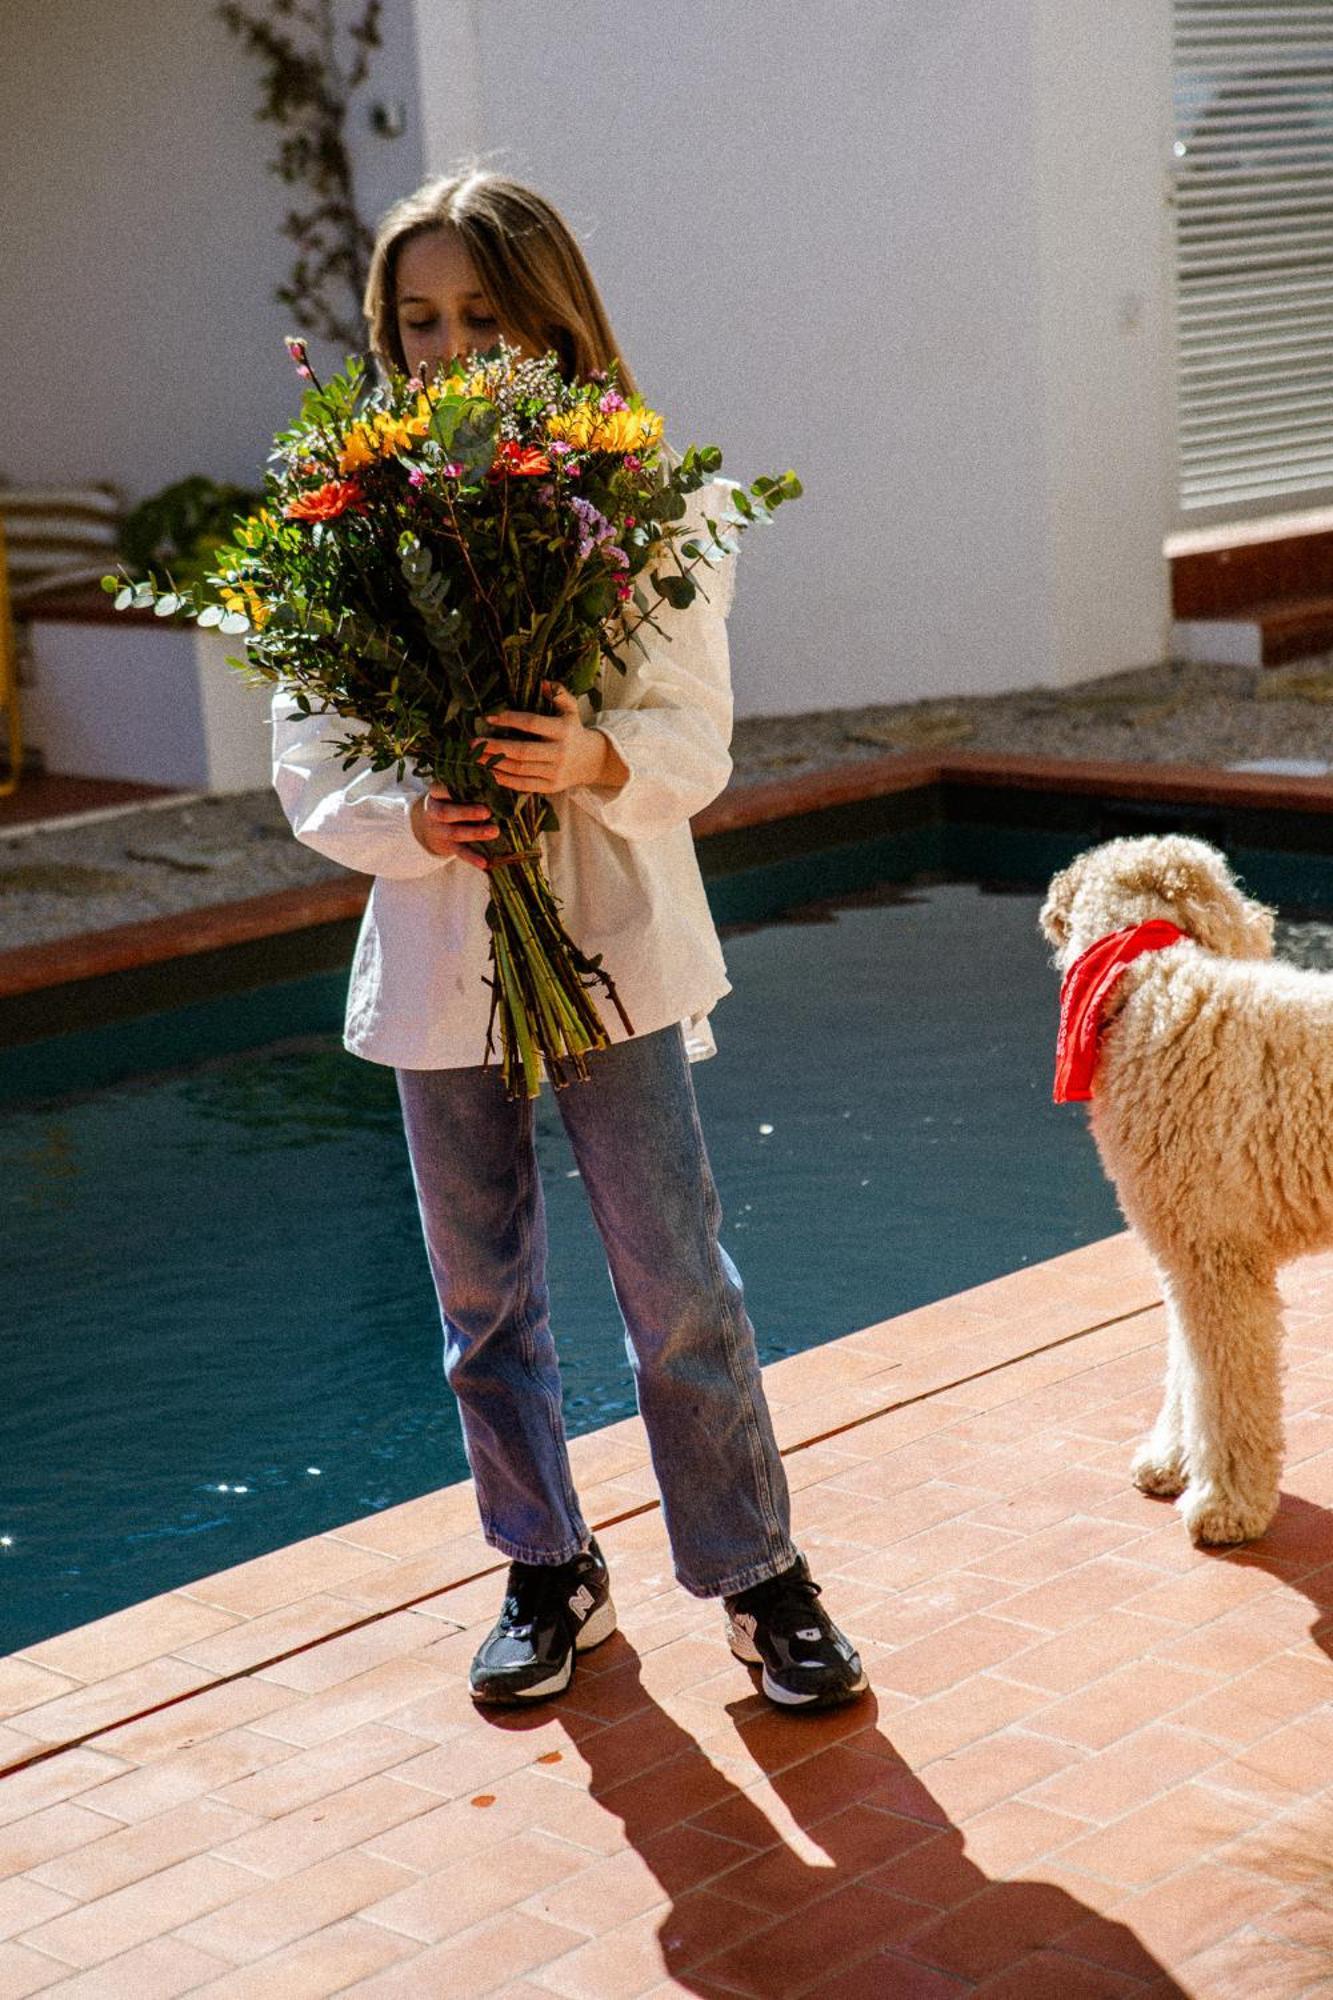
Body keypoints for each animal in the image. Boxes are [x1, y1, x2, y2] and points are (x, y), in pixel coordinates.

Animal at [1024, 832, 1320, 1544]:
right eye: (1228, 883)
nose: (1266, 920)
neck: (1148, 986)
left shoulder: (1216, 1259)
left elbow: (1226, 1388)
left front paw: (1226, 1505)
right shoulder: (1185, 1253)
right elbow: (1189, 1370)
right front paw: (1172, 1461)